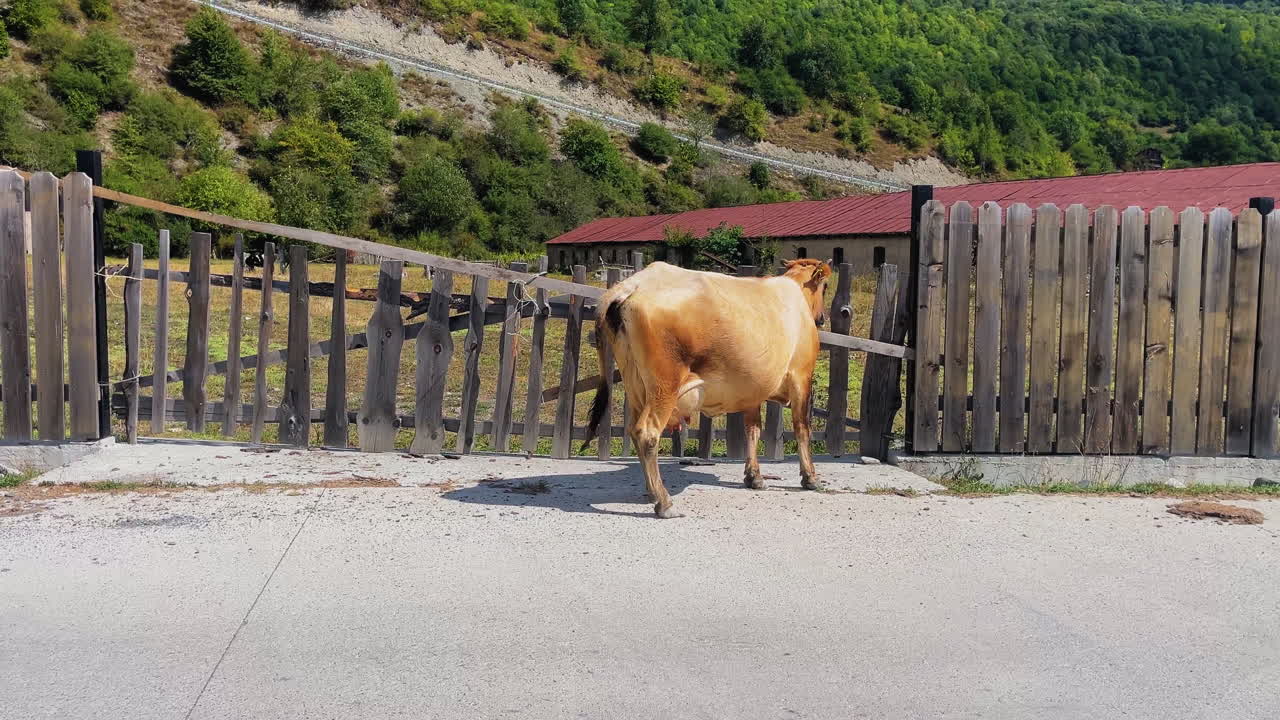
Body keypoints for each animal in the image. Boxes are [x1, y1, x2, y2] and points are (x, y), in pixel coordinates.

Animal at [583, 258, 833, 518]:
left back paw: (652, 492)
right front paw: (810, 478)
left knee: (633, 430)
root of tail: (633, 284)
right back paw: (664, 502)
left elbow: (752, 429)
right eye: (825, 286)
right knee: (647, 433)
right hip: (665, 386)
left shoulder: (753, 389)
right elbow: (802, 429)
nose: (821, 318)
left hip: (635, 386)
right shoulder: (801, 377)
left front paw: (754, 476)